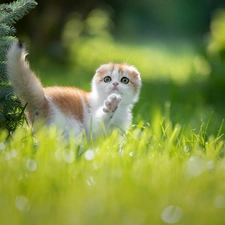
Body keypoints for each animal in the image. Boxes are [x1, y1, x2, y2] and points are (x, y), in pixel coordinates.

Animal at [6, 41, 142, 138]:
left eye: (125, 80)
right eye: (107, 79)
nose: (115, 83)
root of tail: (43, 101)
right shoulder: (92, 125)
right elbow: (98, 125)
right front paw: (111, 106)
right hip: (70, 126)